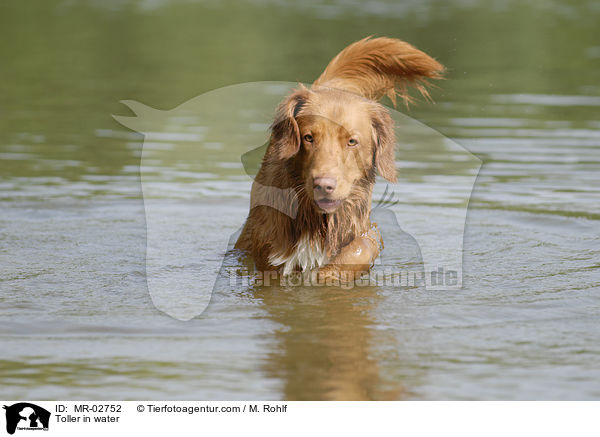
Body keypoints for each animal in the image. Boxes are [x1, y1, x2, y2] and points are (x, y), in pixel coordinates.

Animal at [237, 37, 442, 282]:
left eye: (352, 141)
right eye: (308, 137)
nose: (323, 185)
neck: (317, 221)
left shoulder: (365, 231)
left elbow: (357, 251)